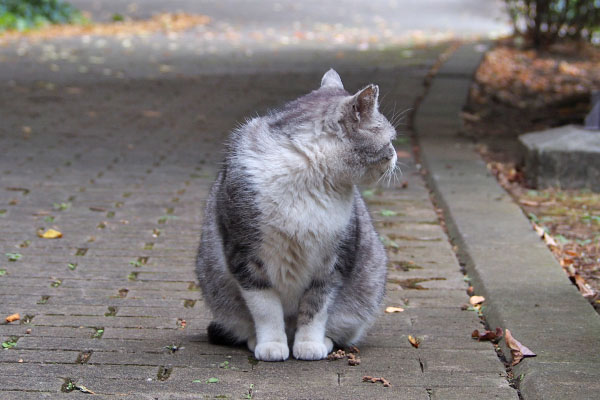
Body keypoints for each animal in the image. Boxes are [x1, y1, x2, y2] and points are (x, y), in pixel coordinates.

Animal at [195, 69, 396, 362]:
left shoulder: (333, 262)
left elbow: (316, 308)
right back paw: (257, 340)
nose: (395, 156)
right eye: (391, 139)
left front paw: (309, 344)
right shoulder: (245, 256)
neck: (308, 172)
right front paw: (271, 345)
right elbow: (266, 309)